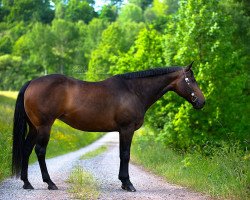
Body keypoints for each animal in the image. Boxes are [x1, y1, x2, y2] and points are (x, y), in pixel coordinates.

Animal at [11, 61, 205, 191]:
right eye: (191, 80)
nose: (202, 102)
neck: (134, 91)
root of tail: (32, 82)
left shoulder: (121, 131)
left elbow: (121, 154)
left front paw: (123, 182)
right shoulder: (126, 129)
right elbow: (125, 155)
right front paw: (128, 184)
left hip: (34, 127)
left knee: (26, 149)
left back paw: (27, 183)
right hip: (44, 126)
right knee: (40, 151)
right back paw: (50, 183)